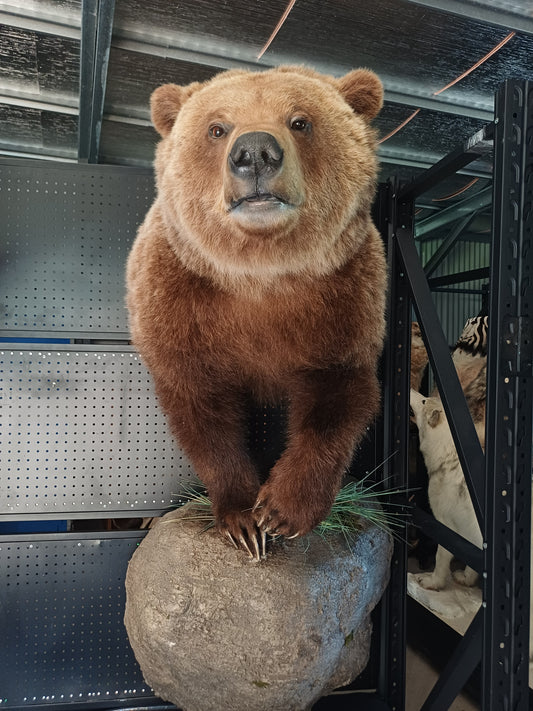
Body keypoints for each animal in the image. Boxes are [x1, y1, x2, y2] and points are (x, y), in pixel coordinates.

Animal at [126, 65, 387, 560]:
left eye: (300, 121)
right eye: (217, 128)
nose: (255, 152)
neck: (260, 275)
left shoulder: (343, 302)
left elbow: (335, 402)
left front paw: (281, 512)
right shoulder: (178, 303)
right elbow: (202, 409)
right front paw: (242, 519)